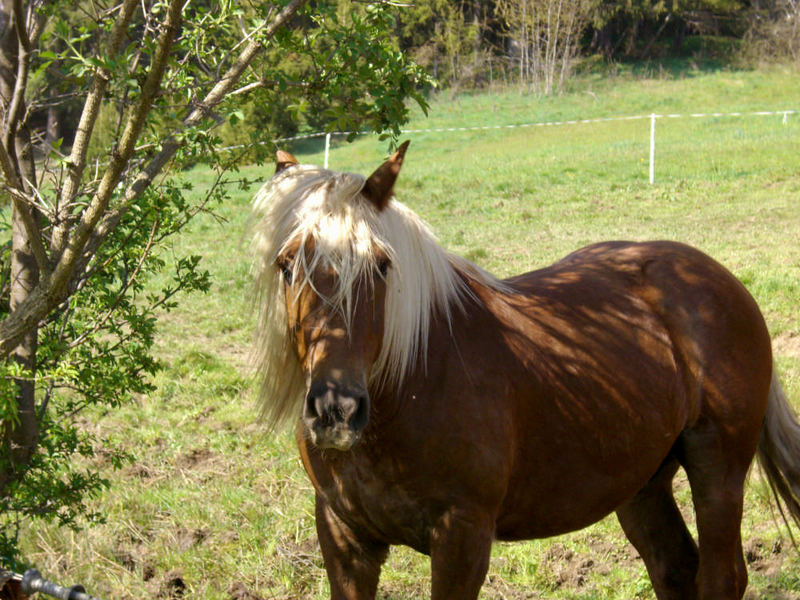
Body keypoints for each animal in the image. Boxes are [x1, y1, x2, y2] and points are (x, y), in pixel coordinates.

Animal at [252, 144, 800, 600]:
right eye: (286, 265)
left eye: (382, 266)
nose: (336, 410)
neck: (412, 389)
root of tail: (717, 276)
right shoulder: (345, 539)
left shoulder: (462, 537)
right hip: (640, 482)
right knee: (675, 570)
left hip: (718, 468)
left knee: (722, 577)